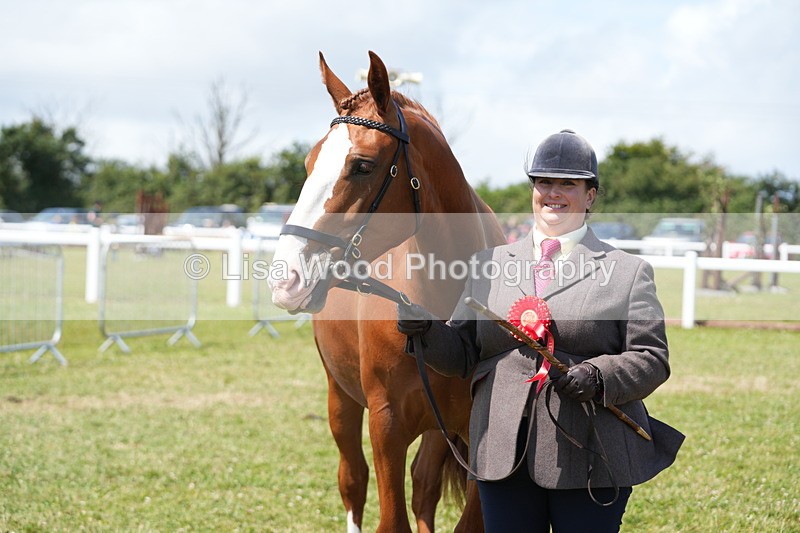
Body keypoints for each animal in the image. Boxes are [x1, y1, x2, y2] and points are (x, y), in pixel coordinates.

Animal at [268, 51, 506, 532]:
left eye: (362, 165)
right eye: (308, 163)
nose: (286, 278)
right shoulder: (386, 423)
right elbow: (389, 517)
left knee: (425, 486)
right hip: (341, 398)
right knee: (353, 480)